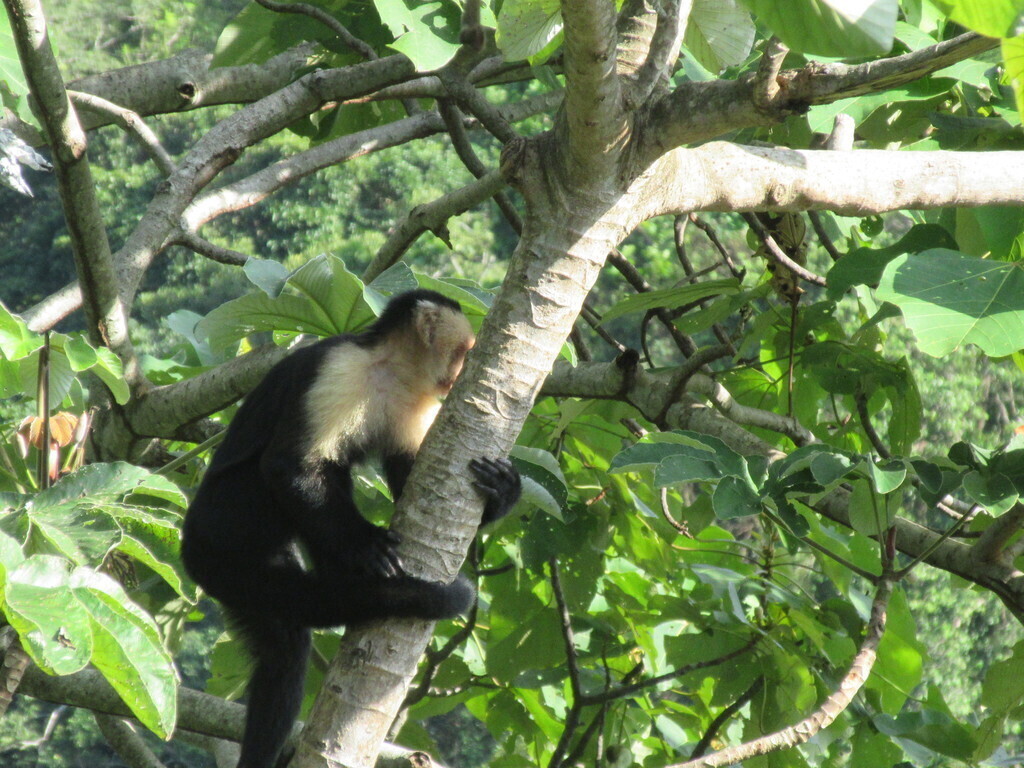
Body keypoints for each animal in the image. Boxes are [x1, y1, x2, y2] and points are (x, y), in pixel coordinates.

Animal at [180, 289, 521, 768]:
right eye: (465, 353)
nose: (458, 378)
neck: (391, 371)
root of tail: (191, 547)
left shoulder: (415, 402)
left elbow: (411, 480)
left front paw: (502, 491)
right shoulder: (339, 368)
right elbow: (290, 465)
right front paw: (367, 544)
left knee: (284, 646)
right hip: (225, 524)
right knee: (301, 475)